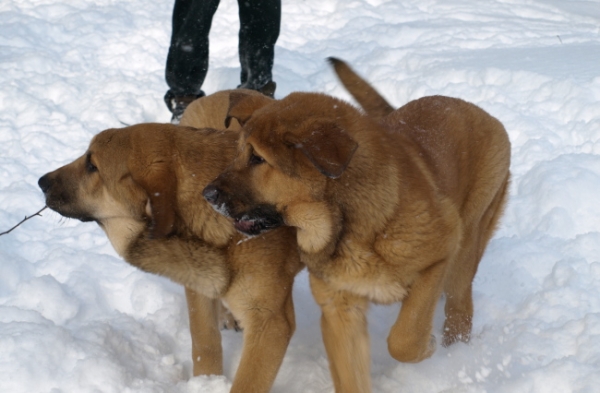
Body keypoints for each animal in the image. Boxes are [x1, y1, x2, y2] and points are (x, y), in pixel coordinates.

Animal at [37, 89, 300, 392]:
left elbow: (248, 381)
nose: (41, 181)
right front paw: (206, 382)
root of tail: (218, 93)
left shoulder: (271, 323)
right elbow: (205, 343)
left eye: (93, 165)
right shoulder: (198, 282)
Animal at [204, 59, 508, 390]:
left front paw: (428, 345)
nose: (206, 194)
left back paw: (456, 354)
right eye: (237, 154)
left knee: (459, 308)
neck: (347, 224)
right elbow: (352, 376)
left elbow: (404, 339)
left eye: (258, 159)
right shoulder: (340, 310)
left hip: (466, 249)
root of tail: (472, 109)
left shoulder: (438, 256)